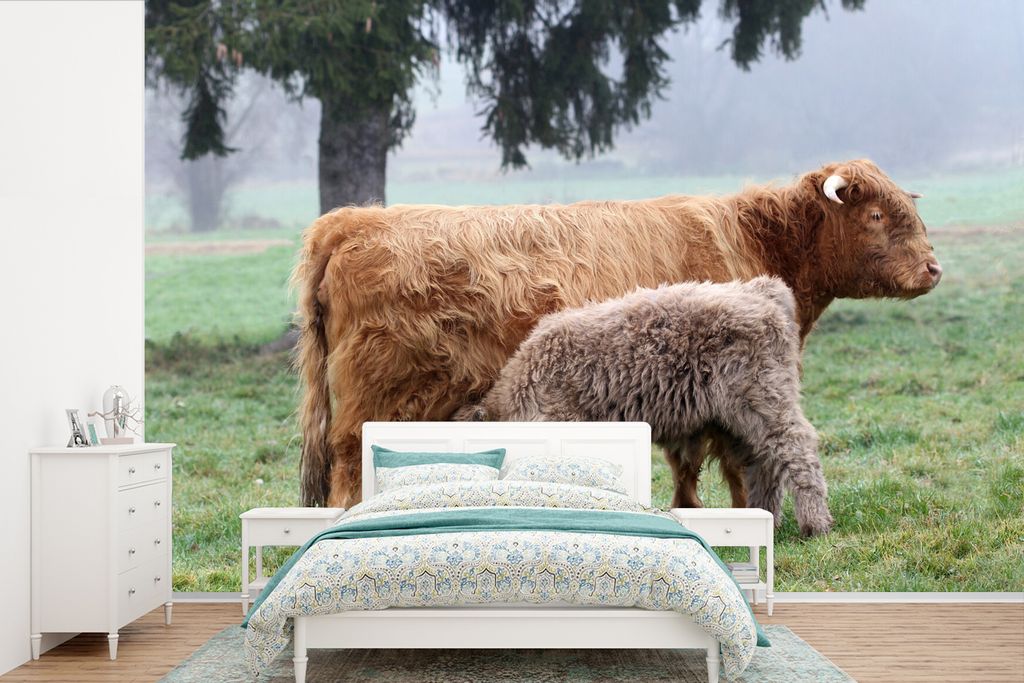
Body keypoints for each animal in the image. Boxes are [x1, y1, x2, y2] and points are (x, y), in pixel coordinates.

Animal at [294, 159, 941, 508]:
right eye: (876, 215)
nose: (933, 268)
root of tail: (352, 220)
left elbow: (688, 462)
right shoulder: (724, 386)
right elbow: (729, 460)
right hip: (372, 408)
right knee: (348, 473)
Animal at [452, 277, 832, 536]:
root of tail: (758, 290)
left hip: (762, 396)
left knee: (796, 447)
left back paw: (815, 523)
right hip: (736, 418)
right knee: (762, 462)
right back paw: (763, 516)